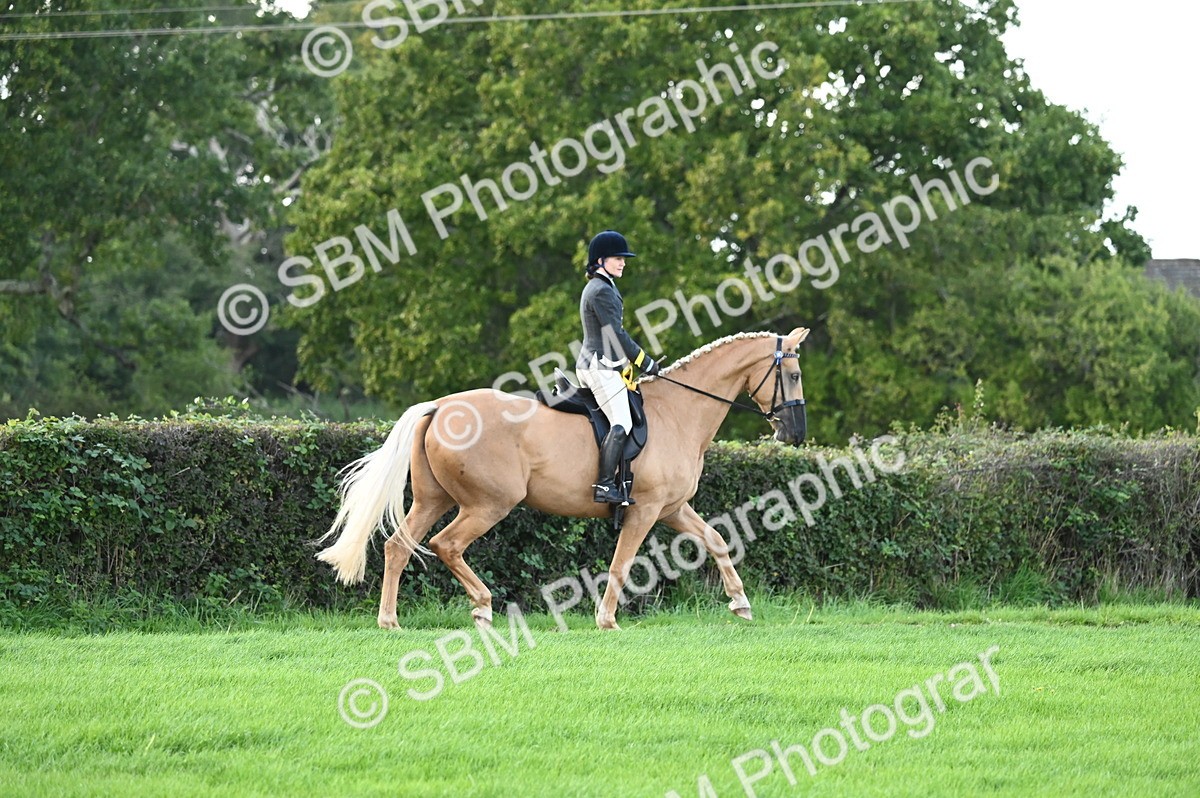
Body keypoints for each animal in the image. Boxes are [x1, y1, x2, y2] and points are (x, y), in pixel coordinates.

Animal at [316, 327, 810, 630]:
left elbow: (717, 540)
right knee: (446, 545)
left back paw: (390, 621)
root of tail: (440, 407)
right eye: (793, 374)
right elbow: (621, 562)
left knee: (398, 546)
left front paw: (740, 603)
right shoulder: (646, 510)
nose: (795, 434)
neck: (678, 411)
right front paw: (606, 619)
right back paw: (483, 607)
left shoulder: (672, 508)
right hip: (487, 504)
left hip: (433, 500)